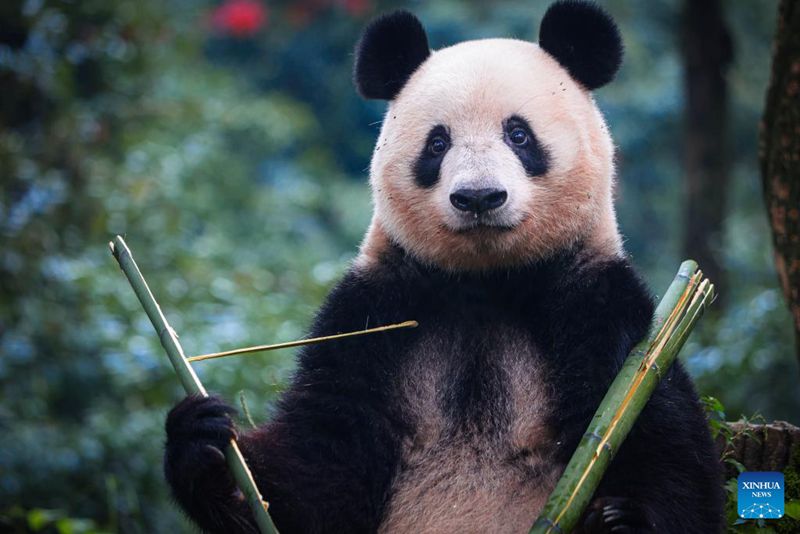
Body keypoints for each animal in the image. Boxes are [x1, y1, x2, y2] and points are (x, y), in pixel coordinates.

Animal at [164, 2, 724, 533]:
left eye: (518, 135)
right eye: (437, 143)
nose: (478, 197)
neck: (486, 282)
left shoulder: (598, 302)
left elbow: (655, 436)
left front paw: (624, 519)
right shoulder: (372, 311)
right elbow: (319, 464)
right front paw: (205, 449)